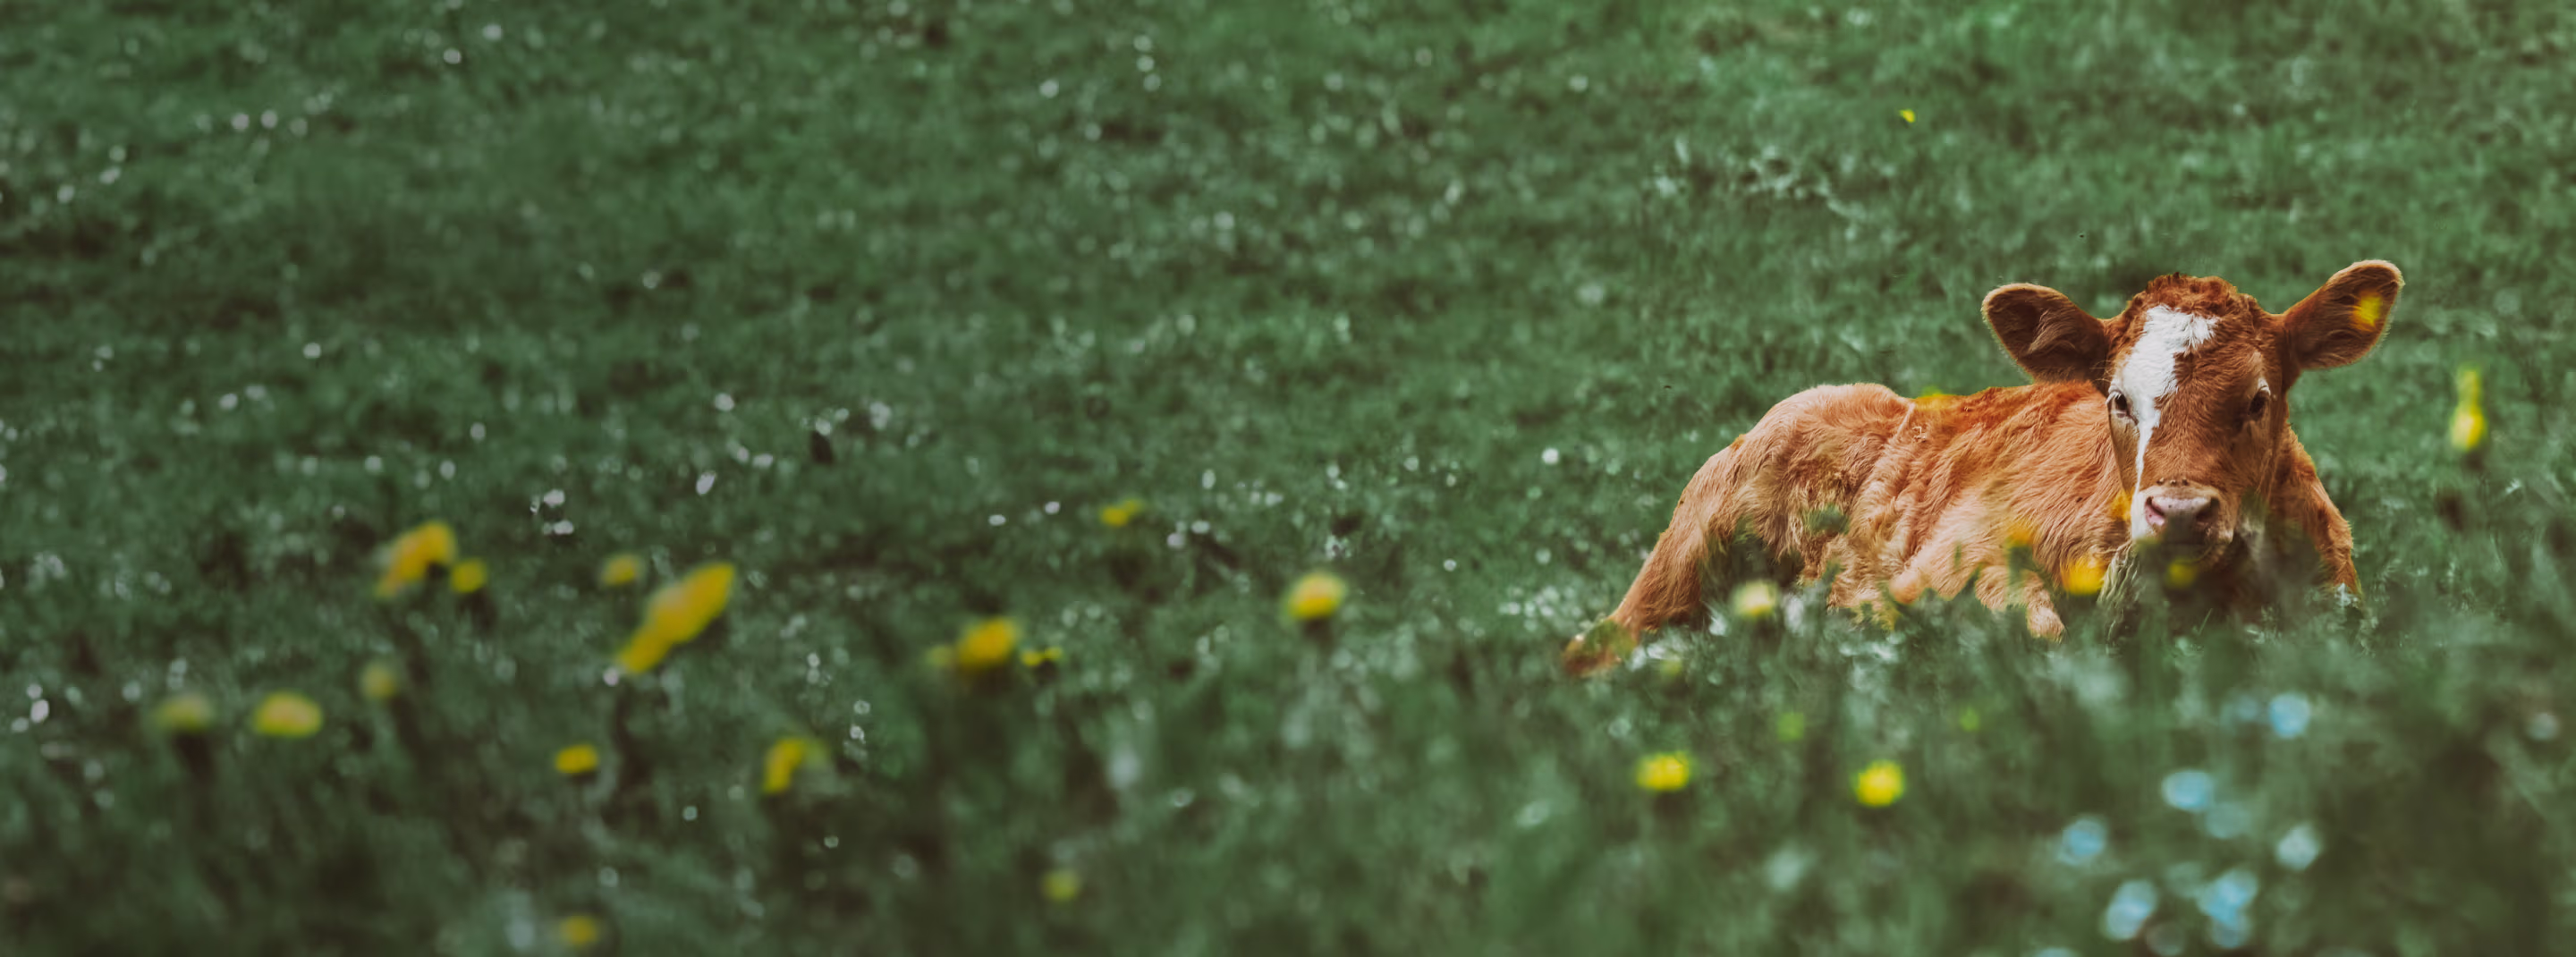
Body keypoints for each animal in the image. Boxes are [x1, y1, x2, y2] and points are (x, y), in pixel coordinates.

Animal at [1563, 262, 2401, 675]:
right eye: (2119, 399)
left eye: (2258, 399)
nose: (2182, 513)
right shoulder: (1947, 565)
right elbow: (2036, 629)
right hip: (1678, 570)